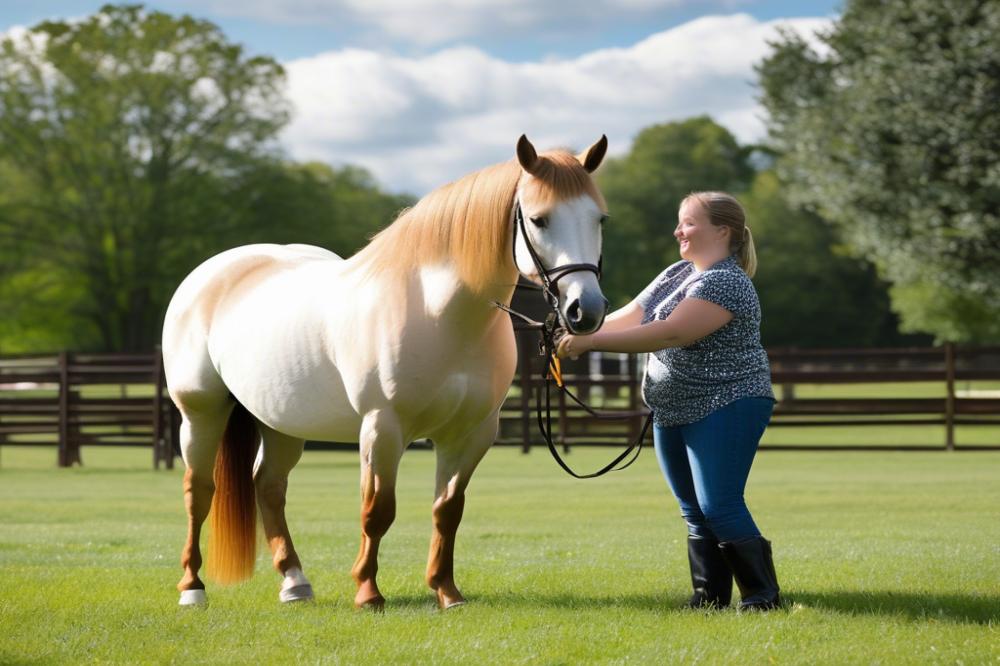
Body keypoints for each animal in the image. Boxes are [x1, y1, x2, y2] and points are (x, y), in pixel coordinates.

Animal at [162, 134, 608, 608]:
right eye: (540, 220)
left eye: (599, 218)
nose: (585, 310)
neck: (439, 312)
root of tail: (209, 274)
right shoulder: (382, 427)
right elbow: (377, 510)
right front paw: (368, 592)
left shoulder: (470, 434)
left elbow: (448, 509)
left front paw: (447, 591)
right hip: (201, 412)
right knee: (198, 491)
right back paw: (192, 588)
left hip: (281, 421)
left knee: (269, 487)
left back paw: (295, 582)